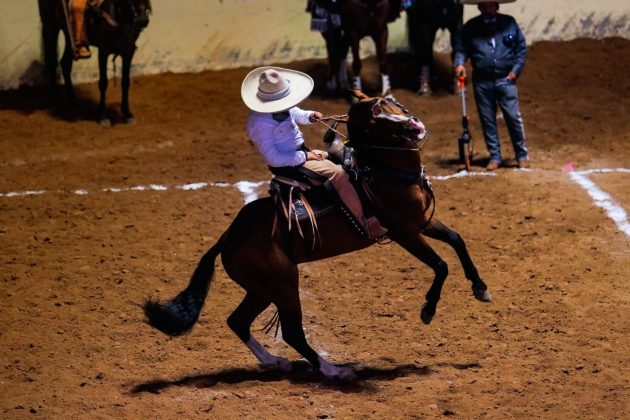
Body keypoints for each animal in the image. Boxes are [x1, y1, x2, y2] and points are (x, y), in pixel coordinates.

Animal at [144, 90, 494, 382]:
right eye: (371, 123)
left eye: (386, 102)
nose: (414, 126)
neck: (384, 175)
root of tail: (228, 237)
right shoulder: (405, 232)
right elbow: (440, 265)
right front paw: (428, 310)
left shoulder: (423, 223)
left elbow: (457, 240)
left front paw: (480, 288)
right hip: (284, 284)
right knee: (292, 332)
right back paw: (333, 370)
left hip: (262, 288)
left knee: (238, 321)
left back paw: (276, 362)